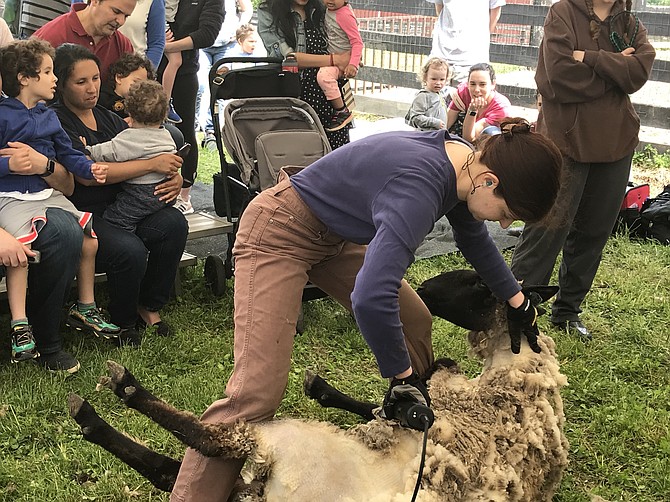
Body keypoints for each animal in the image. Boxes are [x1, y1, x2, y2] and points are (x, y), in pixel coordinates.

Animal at [68, 270, 568, 502]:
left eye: (478, 284)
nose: (424, 287)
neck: (517, 365)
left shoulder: (438, 406)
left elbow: (384, 407)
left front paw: (322, 388)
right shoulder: (427, 406)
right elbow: (381, 405)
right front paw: (324, 388)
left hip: (287, 442)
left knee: (209, 442)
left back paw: (115, 395)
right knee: (174, 470)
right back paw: (98, 413)